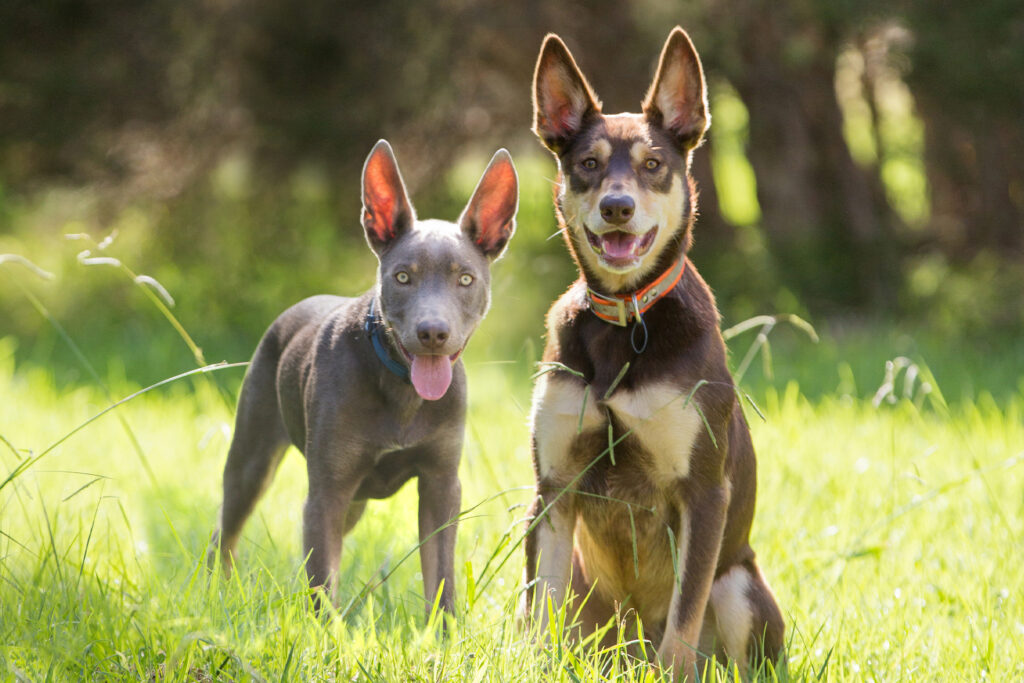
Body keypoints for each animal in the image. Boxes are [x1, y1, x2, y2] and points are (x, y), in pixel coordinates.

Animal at [207, 140, 516, 614]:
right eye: (402, 277)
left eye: (465, 279)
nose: (433, 333)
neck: (402, 389)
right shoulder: (327, 491)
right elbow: (322, 584)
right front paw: (325, 631)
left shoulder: (442, 487)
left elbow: (441, 579)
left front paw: (442, 632)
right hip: (253, 459)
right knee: (225, 531)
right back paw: (214, 591)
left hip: (353, 501)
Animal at [524, 28, 786, 679]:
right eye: (588, 165)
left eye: (653, 165)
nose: (617, 207)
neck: (626, 321)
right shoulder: (553, 488)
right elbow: (537, 612)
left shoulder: (703, 493)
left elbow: (683, 623)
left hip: (738, 583)